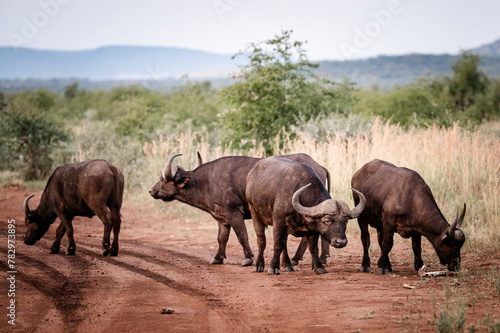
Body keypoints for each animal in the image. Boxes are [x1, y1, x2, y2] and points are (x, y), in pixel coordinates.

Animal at [148, 152, 332, 264]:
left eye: (162, 180)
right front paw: (218, 258)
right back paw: (319, 257)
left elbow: (241, 234)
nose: (151, 190)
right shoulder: (222, 218)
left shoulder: (233, 211)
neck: (206, 181)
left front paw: (248, 258)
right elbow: (221, 238)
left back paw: (297, 258)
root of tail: (319, 166)